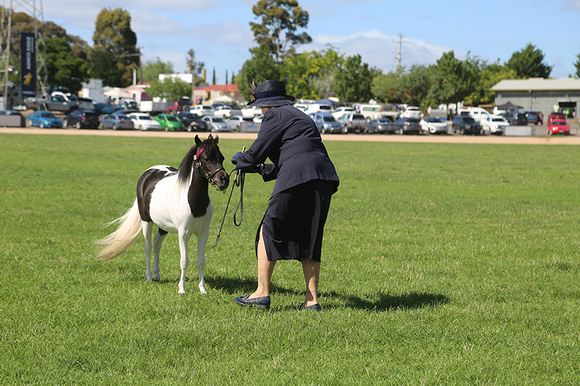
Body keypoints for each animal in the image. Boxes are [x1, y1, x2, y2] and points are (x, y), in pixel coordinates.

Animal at [96, 134, 230, 294]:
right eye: (206, 158)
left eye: (221, 157)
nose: (224, 179)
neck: (193, 201)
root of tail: (148, 173)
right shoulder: (183, 233)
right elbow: (184, 261)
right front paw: (181, 289)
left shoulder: (203, 233)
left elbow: (201, 261)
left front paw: (202, 289)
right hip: (146, 221)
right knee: (148, 246)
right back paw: (148, 276)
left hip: (163, 226)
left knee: (156, 244)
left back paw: (157, 274)